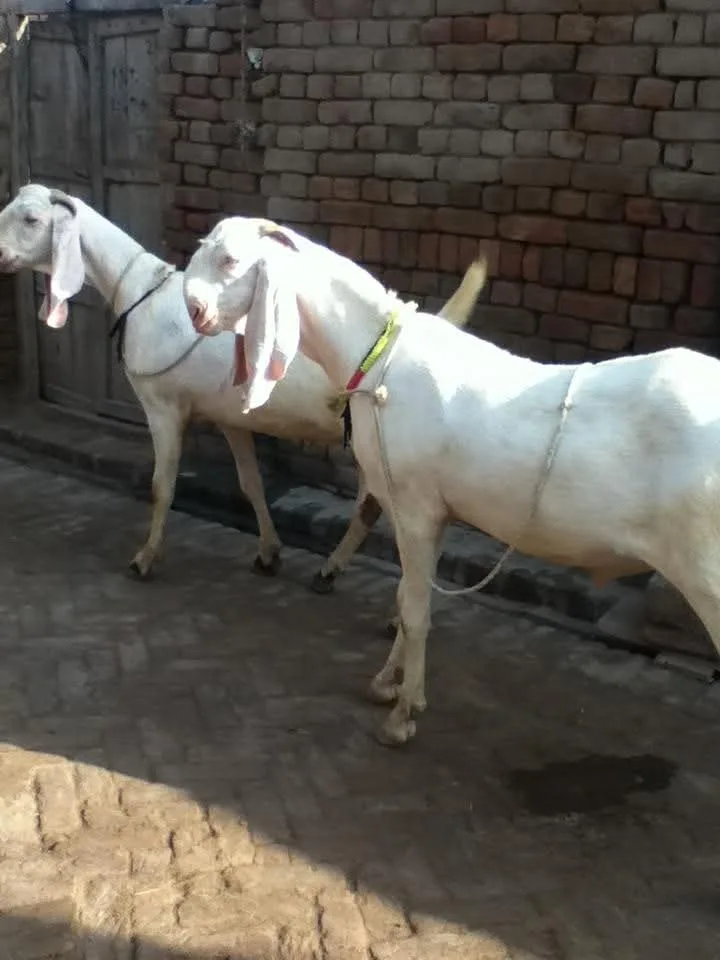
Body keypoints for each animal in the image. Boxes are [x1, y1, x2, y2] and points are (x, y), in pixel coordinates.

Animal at [0, 184, 486, 594]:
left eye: (31, 218)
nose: (0, 255)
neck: (143, 296)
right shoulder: (230, 417)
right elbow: (251, 484)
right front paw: (268, 553)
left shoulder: (163, 409)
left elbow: (162, 487)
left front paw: (144, 559)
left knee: (380, 513)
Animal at [183, 214, 720, 747]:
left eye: (230, 260)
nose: (193, 309)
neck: (378, 357)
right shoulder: (430, 511)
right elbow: (407, 597)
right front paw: (391, 684)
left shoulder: (414, 508)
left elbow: (415, 611)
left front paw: (401, 716)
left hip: (706, 575)